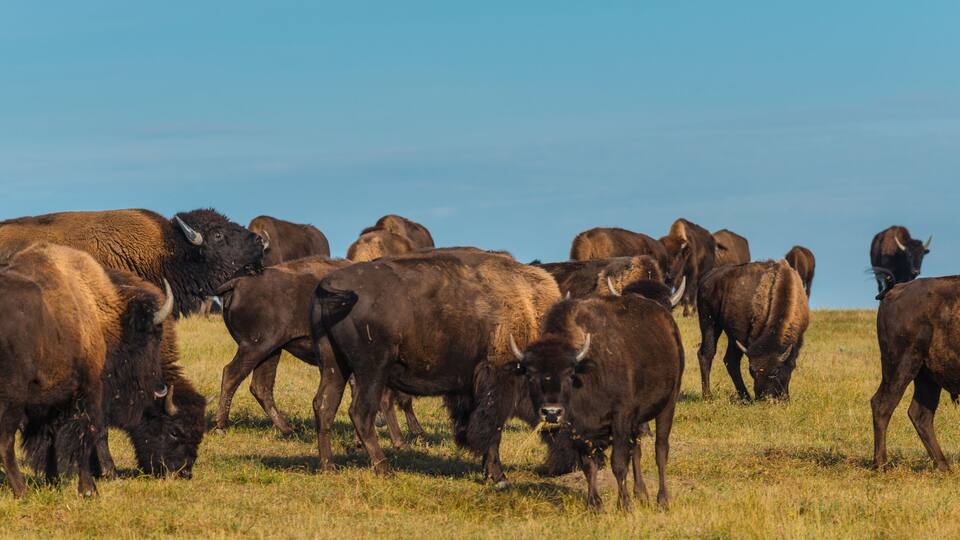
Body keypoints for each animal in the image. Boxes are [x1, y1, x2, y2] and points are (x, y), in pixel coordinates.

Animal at [312, 249, 559, 484]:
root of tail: (331, 282)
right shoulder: (497, 382)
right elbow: (492, 429)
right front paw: (499, 476)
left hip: (334, 365)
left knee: (324, 406)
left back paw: (329, 468)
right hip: (372, 370)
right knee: (360, 412)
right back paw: (384, 469)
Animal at [510, 291, 684, 509]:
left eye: (569, 374)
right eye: (531, 375)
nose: (551, 412)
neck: (585, 372)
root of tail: (668, 322)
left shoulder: (620, 418)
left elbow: (618, 463)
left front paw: (624, 505)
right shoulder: (581, 430)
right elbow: (589, 466)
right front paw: (595, 505)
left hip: (668, 404)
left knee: (661, 450)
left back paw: (662, 499)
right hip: (637, 420)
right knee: (637, 449)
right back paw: (641, 494)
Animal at [696, 260, 809, 400]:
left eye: (775, 371)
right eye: (752, 371)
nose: (763, 397)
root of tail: (707, 278)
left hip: (730, 335)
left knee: (730, 361)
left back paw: (746, 398)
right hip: (709, 322)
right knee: (707, 354)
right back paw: (708, 396)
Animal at [872, 276, 960, 471]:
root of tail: (896, 288)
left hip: (927, 376)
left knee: (921, 414)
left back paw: (944, 467)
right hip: (901, 366)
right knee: (882, 405)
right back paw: (881, 465)